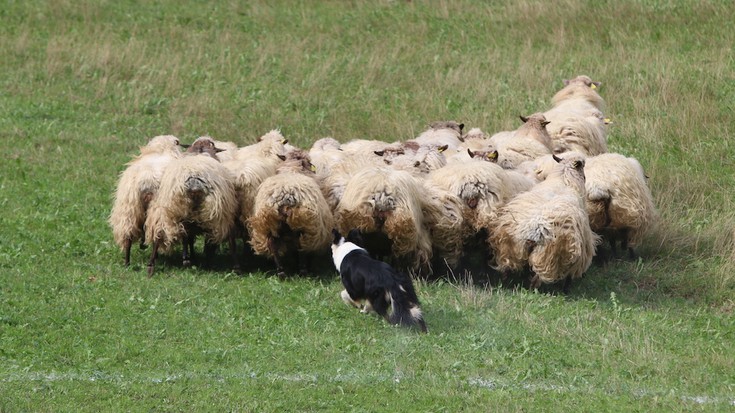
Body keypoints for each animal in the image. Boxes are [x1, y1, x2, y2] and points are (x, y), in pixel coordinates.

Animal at [142, 137, 237, 276]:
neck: (199, 151)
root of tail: (194, 181)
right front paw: (191, 257)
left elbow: (188, 237)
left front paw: (189, 258)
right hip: (217, 213)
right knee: (224, 239)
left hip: (168, 210)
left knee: (159, 234)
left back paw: (151, 266)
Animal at [486, 153, 600, 292]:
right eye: (583, 167)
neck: (564, 179)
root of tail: (535, 229)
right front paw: (567, 288)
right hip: (548, 256)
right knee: (537, 279)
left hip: (508, 247)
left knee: (506, 268)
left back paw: (505, 283)